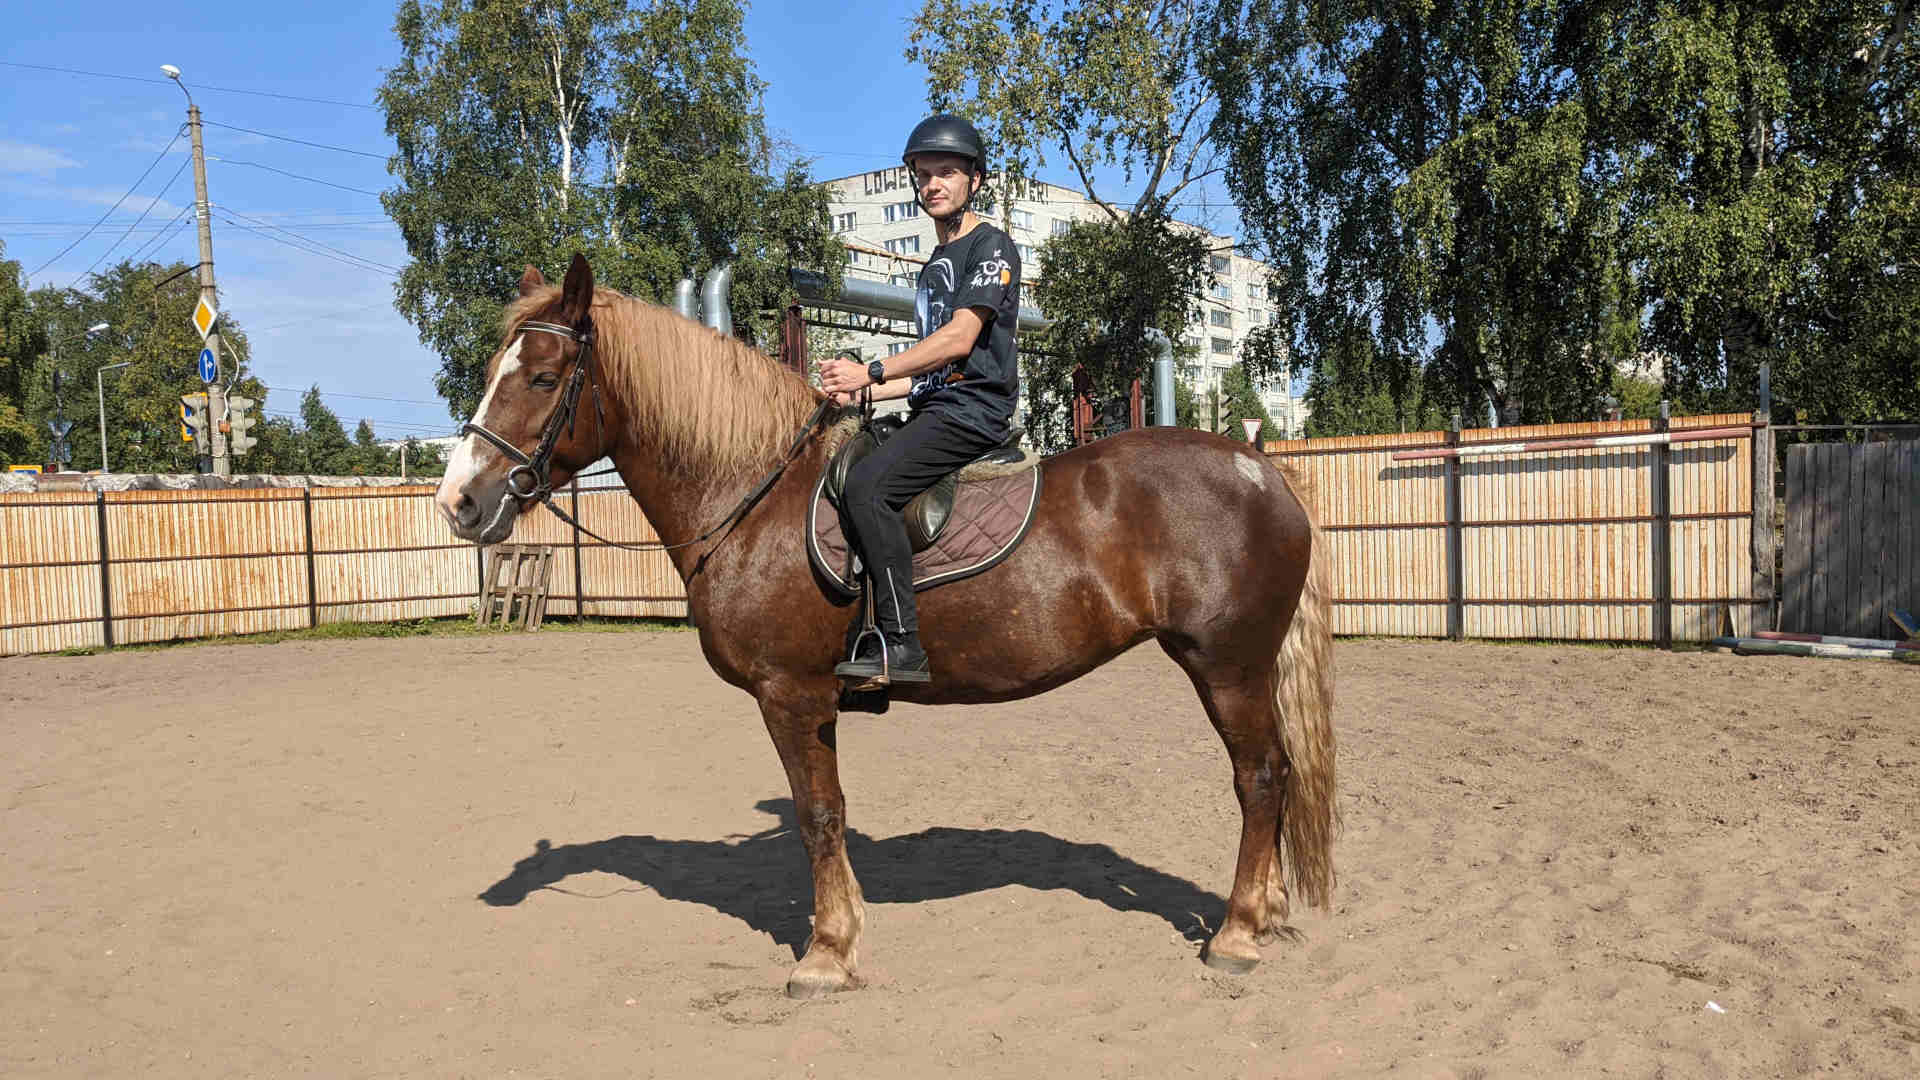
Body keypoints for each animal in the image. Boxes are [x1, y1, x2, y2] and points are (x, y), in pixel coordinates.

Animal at [434, 253, 1336, 999]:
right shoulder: (813, 700)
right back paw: (1266, 911)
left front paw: (827, 954)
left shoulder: (790, 695)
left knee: (1261, 778)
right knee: (1277, 774)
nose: (461, 503)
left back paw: (1236, 935)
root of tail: (1261, 469)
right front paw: (845, 930)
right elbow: (828, 814)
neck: (756, 490)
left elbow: (818, 815)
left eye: (543, 377)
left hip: (1225, 665)